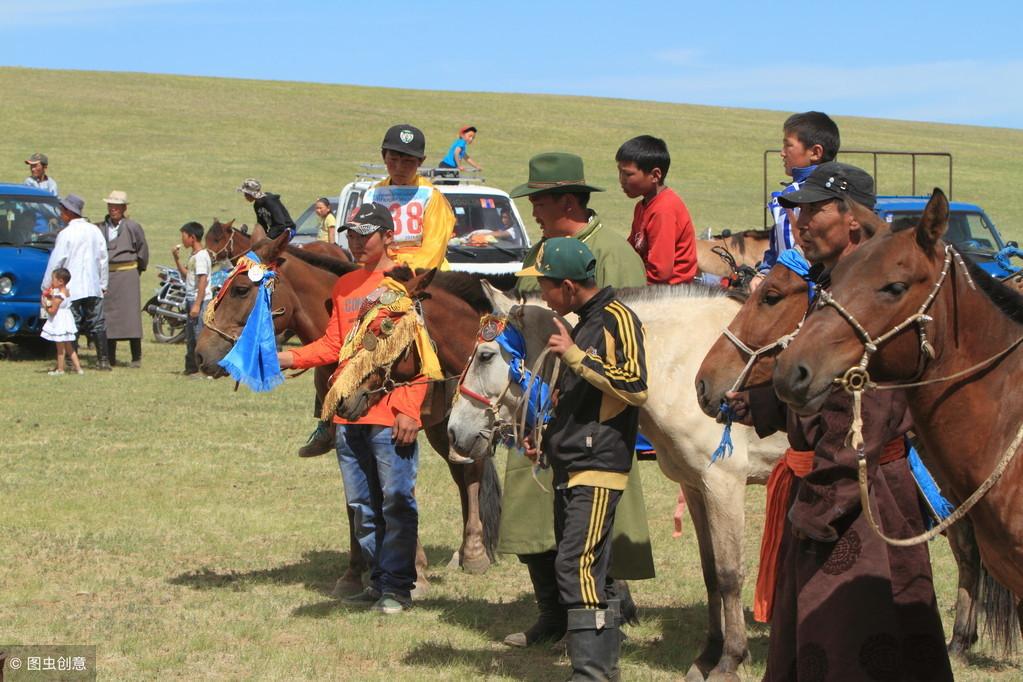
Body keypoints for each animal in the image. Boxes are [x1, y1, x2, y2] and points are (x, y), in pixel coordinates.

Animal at [446, 288, 781, 682]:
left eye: (485, 356)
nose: (454, 432)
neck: (683, 363)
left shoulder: (724, 483)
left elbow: (729, 575)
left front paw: (730, 660)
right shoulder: (696, 487)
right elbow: (711, 572)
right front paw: (708, 656)